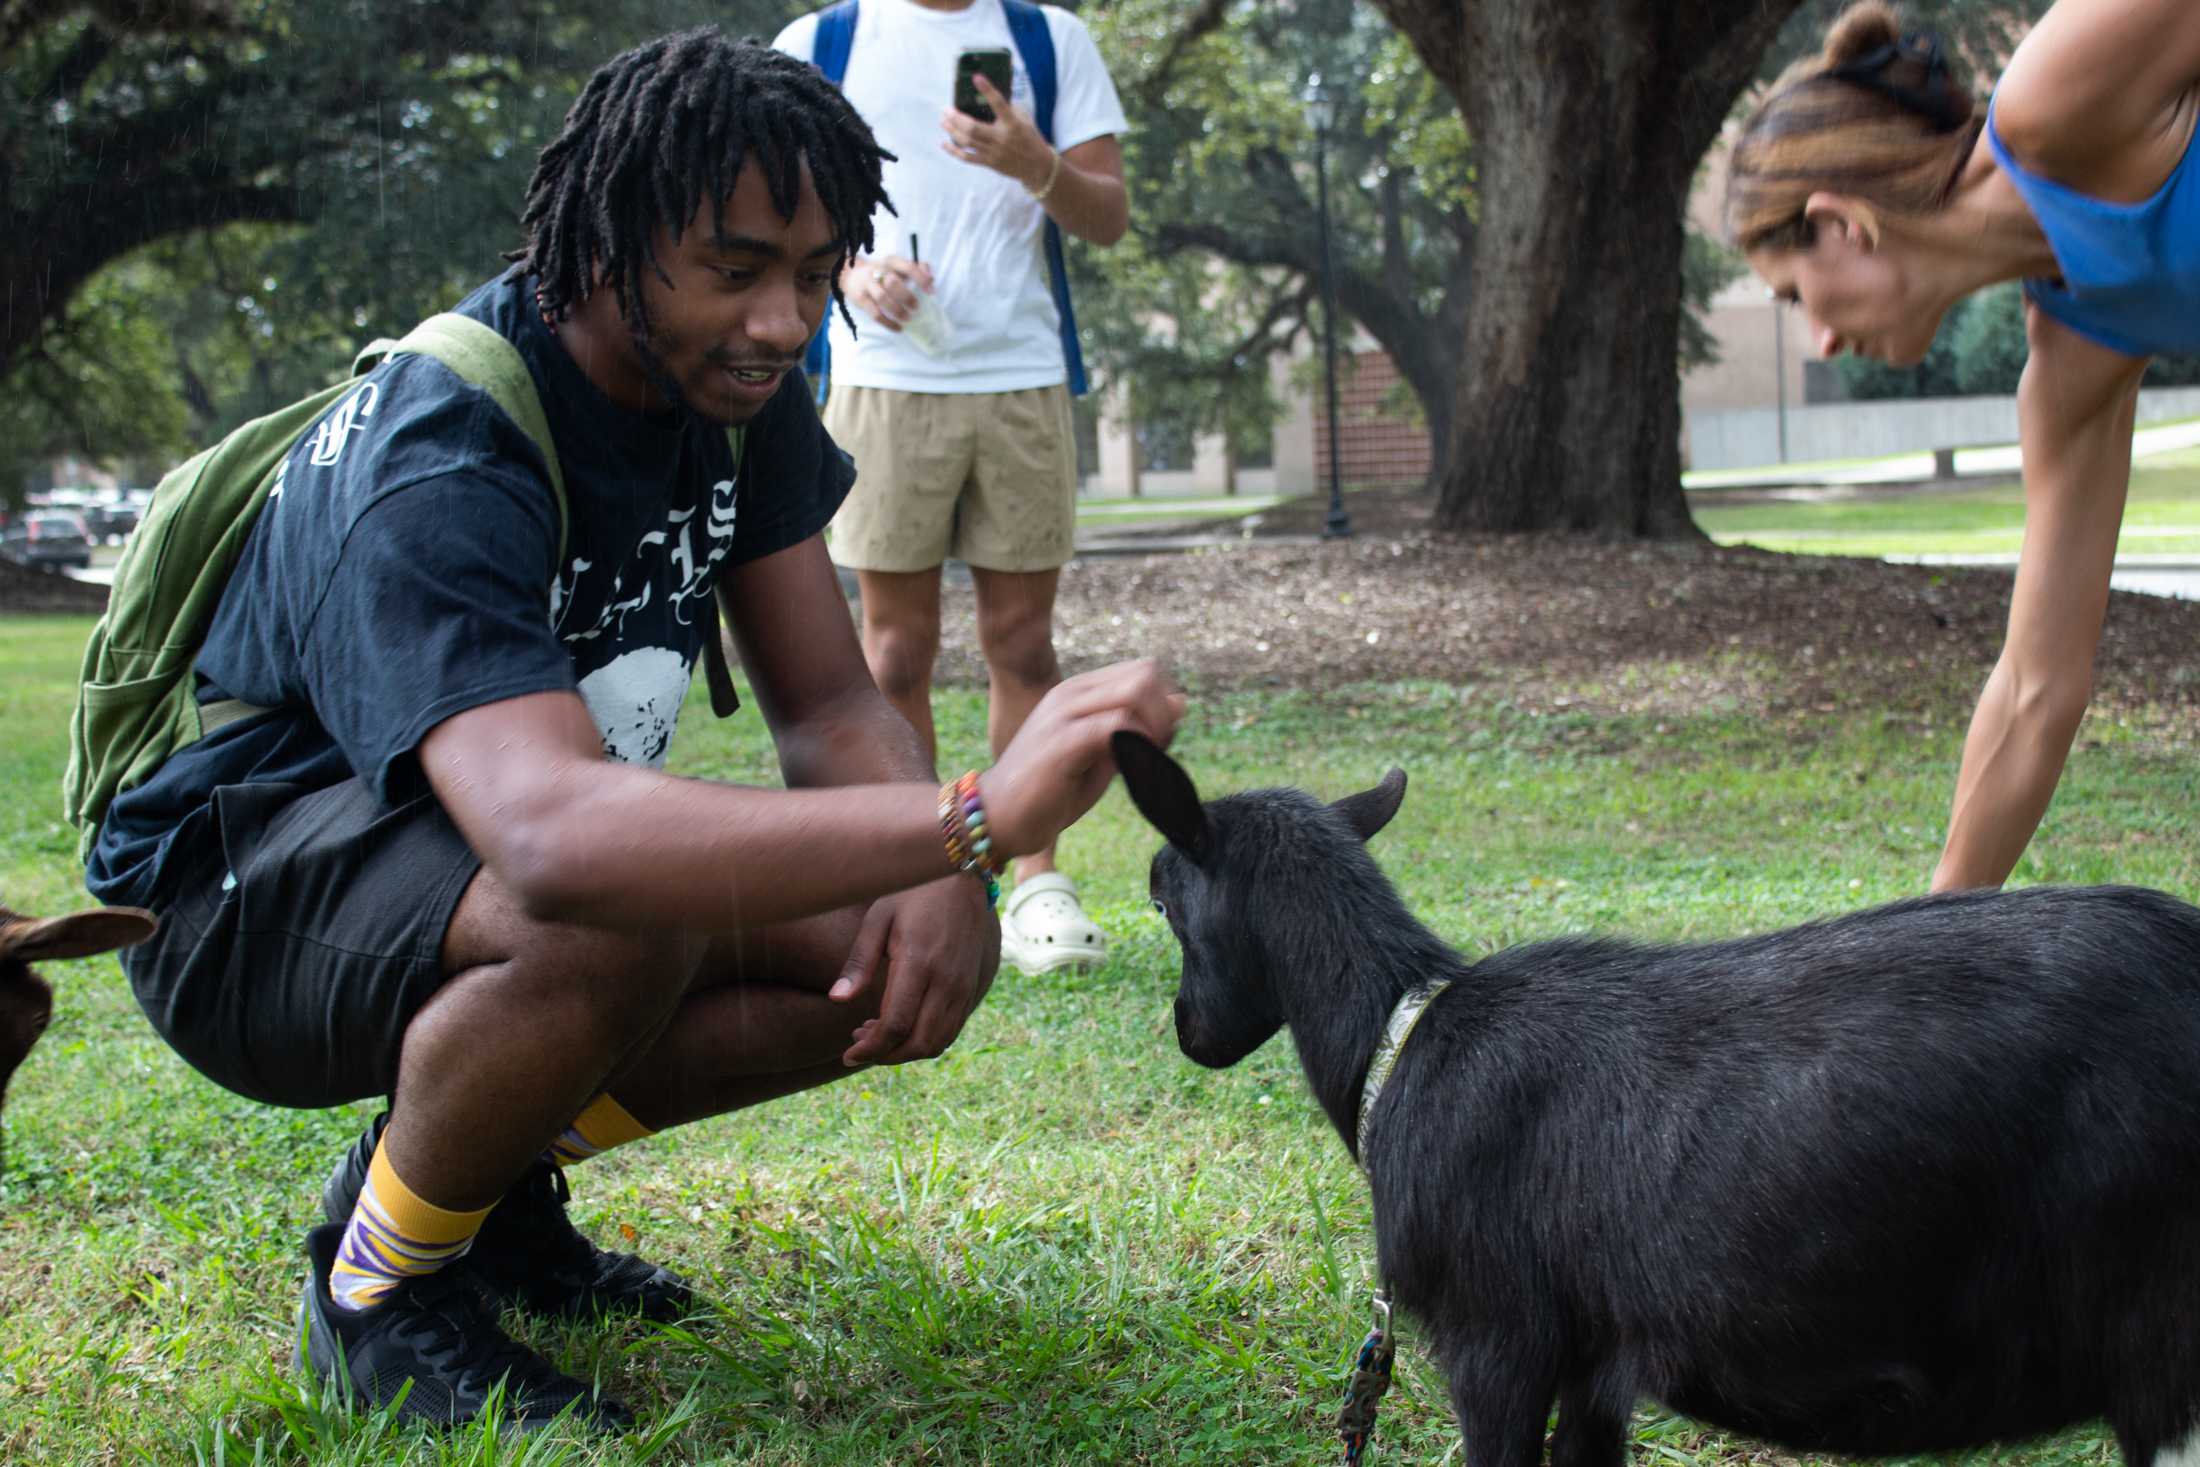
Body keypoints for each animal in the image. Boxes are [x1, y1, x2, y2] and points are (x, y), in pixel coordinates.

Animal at [1117, 738, 2200, 1467]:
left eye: (1161, 898)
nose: (1188, 1030)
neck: (1403, 1027)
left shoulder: (1494, 1341)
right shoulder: (1597, 1366)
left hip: (2162, 1342)